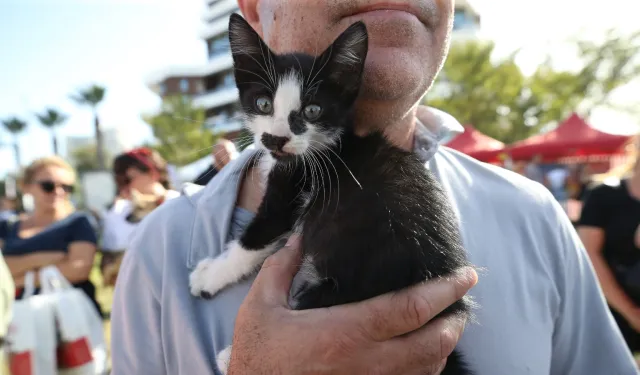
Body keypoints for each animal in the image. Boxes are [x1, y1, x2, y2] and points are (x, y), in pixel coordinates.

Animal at [188, 13, 472, 374]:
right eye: (263, 104)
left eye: (312, 110)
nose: (276, 139)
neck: (324, 147)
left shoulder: (294, 188)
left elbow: (256, 237)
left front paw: (211, 275)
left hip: (361, 277)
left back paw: (229, 355)